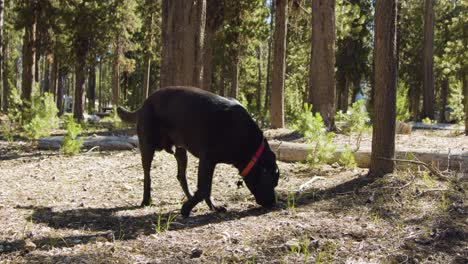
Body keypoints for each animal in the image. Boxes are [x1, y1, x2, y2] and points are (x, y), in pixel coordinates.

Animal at [118, 86, 278, 217]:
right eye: (273, 183)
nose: (273, 203)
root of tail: (145, 103)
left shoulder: (210, 163)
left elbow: (206, 189)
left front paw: (212, 207)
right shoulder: (207, 160)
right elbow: (204, 189)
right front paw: (186, 209)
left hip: (181, 152)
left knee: (181, 176)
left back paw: (189, 196)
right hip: (147, 147)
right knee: (147, 175)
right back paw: (147, 200)